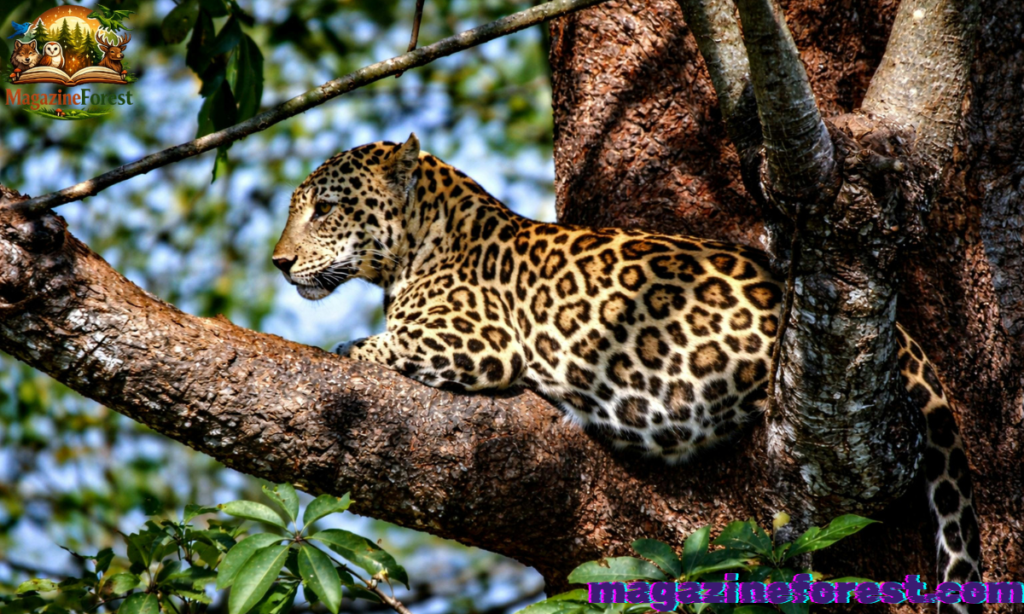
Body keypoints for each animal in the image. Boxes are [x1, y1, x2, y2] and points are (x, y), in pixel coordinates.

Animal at [273, 135, 981, 610]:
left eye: (325, 209)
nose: (279, 263)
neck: (423, 239)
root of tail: (904, 340)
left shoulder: (479, 339)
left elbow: (373, 342)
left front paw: (347, 346)